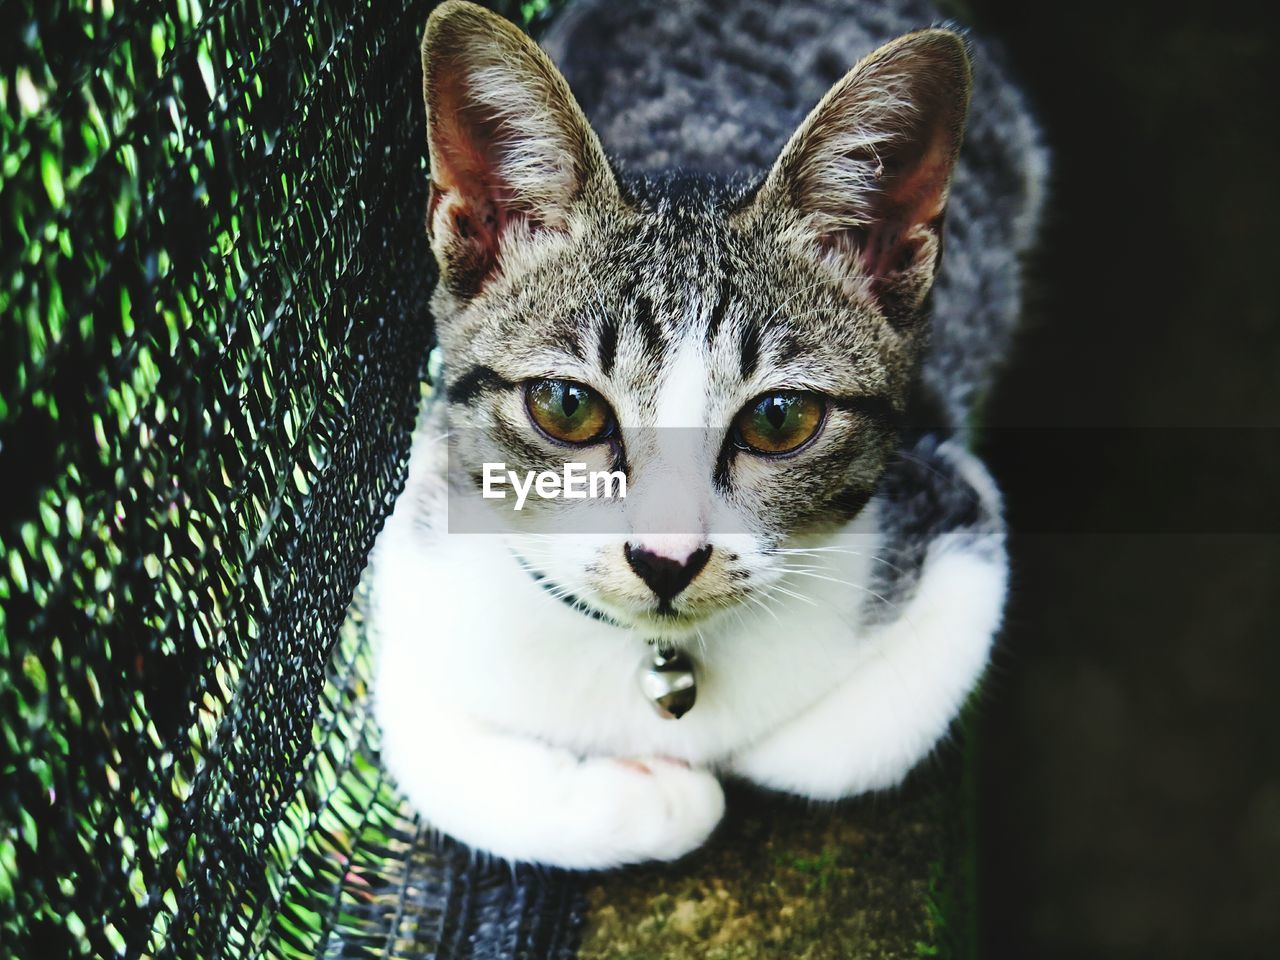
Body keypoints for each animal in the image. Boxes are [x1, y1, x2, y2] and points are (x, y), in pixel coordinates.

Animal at [366, 0, 1044, 870]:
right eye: (566, 407)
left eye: (779, 419)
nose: (666, 559)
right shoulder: (418, 550)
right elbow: (432, 756)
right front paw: (661, 797)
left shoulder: (955, 504)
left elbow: (836, 748)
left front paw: (715, 773)